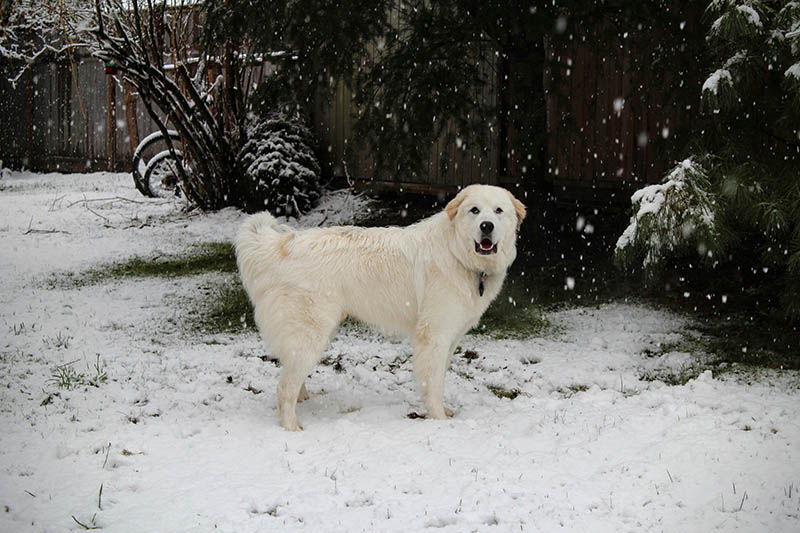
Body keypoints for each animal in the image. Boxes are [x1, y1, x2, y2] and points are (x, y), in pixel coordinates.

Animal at [236, 185, 524, 430]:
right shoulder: (434, 337)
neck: (458, 254)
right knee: (284, 387)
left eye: (498, 211)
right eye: (474, 210)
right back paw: (292, 427)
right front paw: (439, 420)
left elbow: (439, 377)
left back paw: (303, 399)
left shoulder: (450, 337)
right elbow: (433, 383)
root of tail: (285, 244)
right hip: (311, 333)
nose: (486, 226)